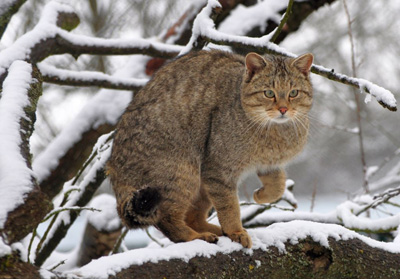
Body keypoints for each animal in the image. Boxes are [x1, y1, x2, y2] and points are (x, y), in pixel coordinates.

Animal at [106, 50, 312, 249]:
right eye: (269, 93)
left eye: (294, 92)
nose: (283, 109)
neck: (276, 133)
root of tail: (114, 170)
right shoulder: (219, 169)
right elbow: (229, 207)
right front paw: (235, 231)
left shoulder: (269, 164)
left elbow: (278, 186)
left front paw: (260, 196)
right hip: (180, 174)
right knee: (167, 220)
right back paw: (196, 236)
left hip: (199, 182)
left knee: (191, 217)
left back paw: (213, 231)